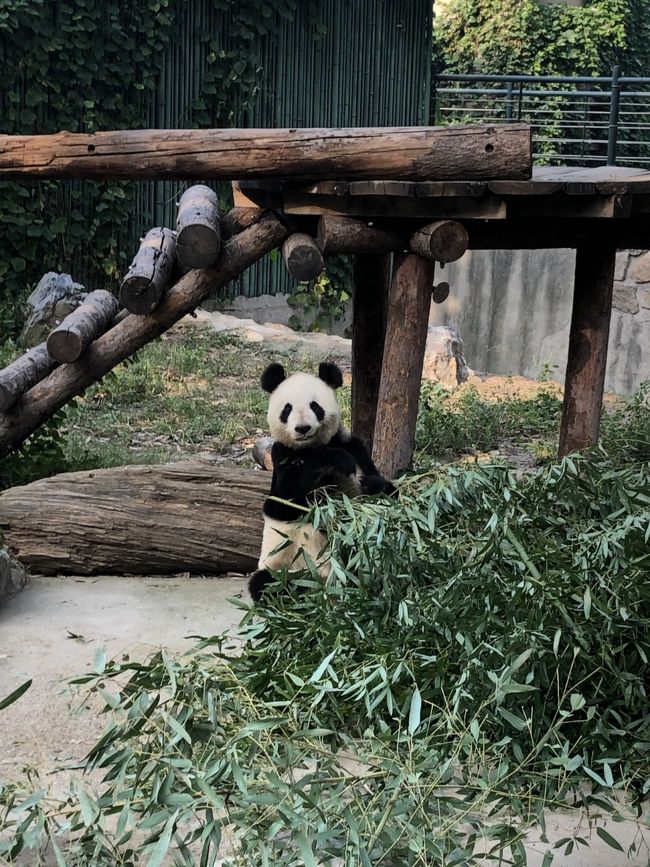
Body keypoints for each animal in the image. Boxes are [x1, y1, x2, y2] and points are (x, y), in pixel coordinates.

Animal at [247, 362, 390, 604]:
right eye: (287, 409)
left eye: (315, 406)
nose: (303, 428)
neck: (310, 447)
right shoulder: (282, 457)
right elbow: (285, 500)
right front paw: (338, 460)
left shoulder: (352, 446)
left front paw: (373, 485)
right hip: (280, 565)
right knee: (266, 584)